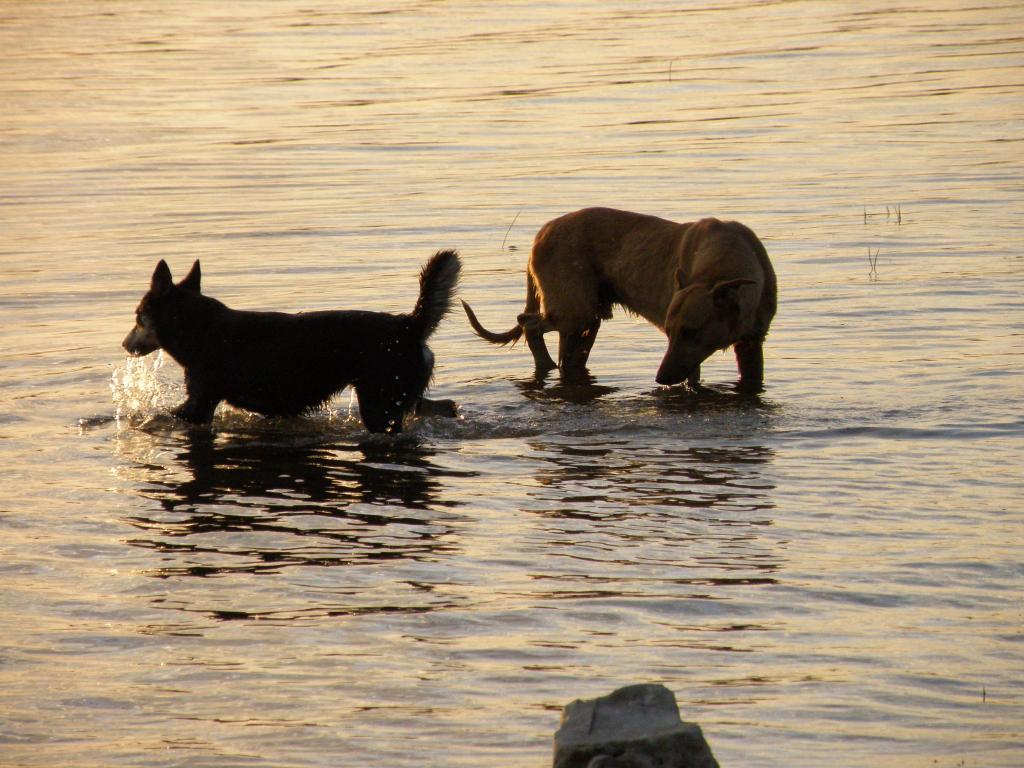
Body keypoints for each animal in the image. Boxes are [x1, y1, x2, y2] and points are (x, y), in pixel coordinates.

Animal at [123, 250, 464, 434]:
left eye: (138, 316)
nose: (125, 345)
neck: (199, 329)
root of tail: (409, 323)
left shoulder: (198, 405)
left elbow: (160, 416)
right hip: (403, 395)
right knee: (445, 406)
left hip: (380, 404)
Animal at [464, 207, 774, 391]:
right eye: (669, 331)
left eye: (691, 331)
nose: (661, 378)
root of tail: (540, 234)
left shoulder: (751, 342)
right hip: (574, 310)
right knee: (529, 322)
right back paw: (545, 360)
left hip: (587, 319)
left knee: (566, 352)